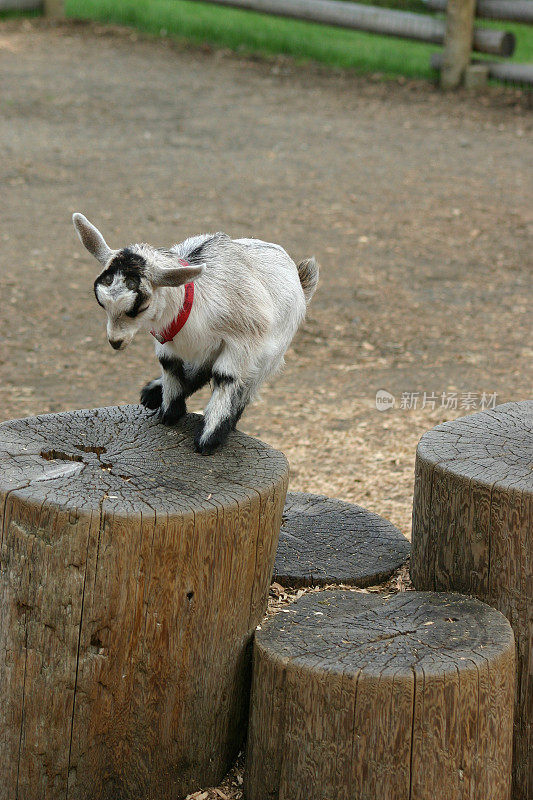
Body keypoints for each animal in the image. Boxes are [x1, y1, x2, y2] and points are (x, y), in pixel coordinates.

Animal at [72, 212, 318, 454]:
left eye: (140, 307)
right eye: (102, 303)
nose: (115, 341)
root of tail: (299, 277)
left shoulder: (242, 342)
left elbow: (226, 377)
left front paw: (209, 438)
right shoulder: (166, 338)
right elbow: (169, 364)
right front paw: (169, 412)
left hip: (272, 352)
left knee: (247, 384)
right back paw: (154, 392)